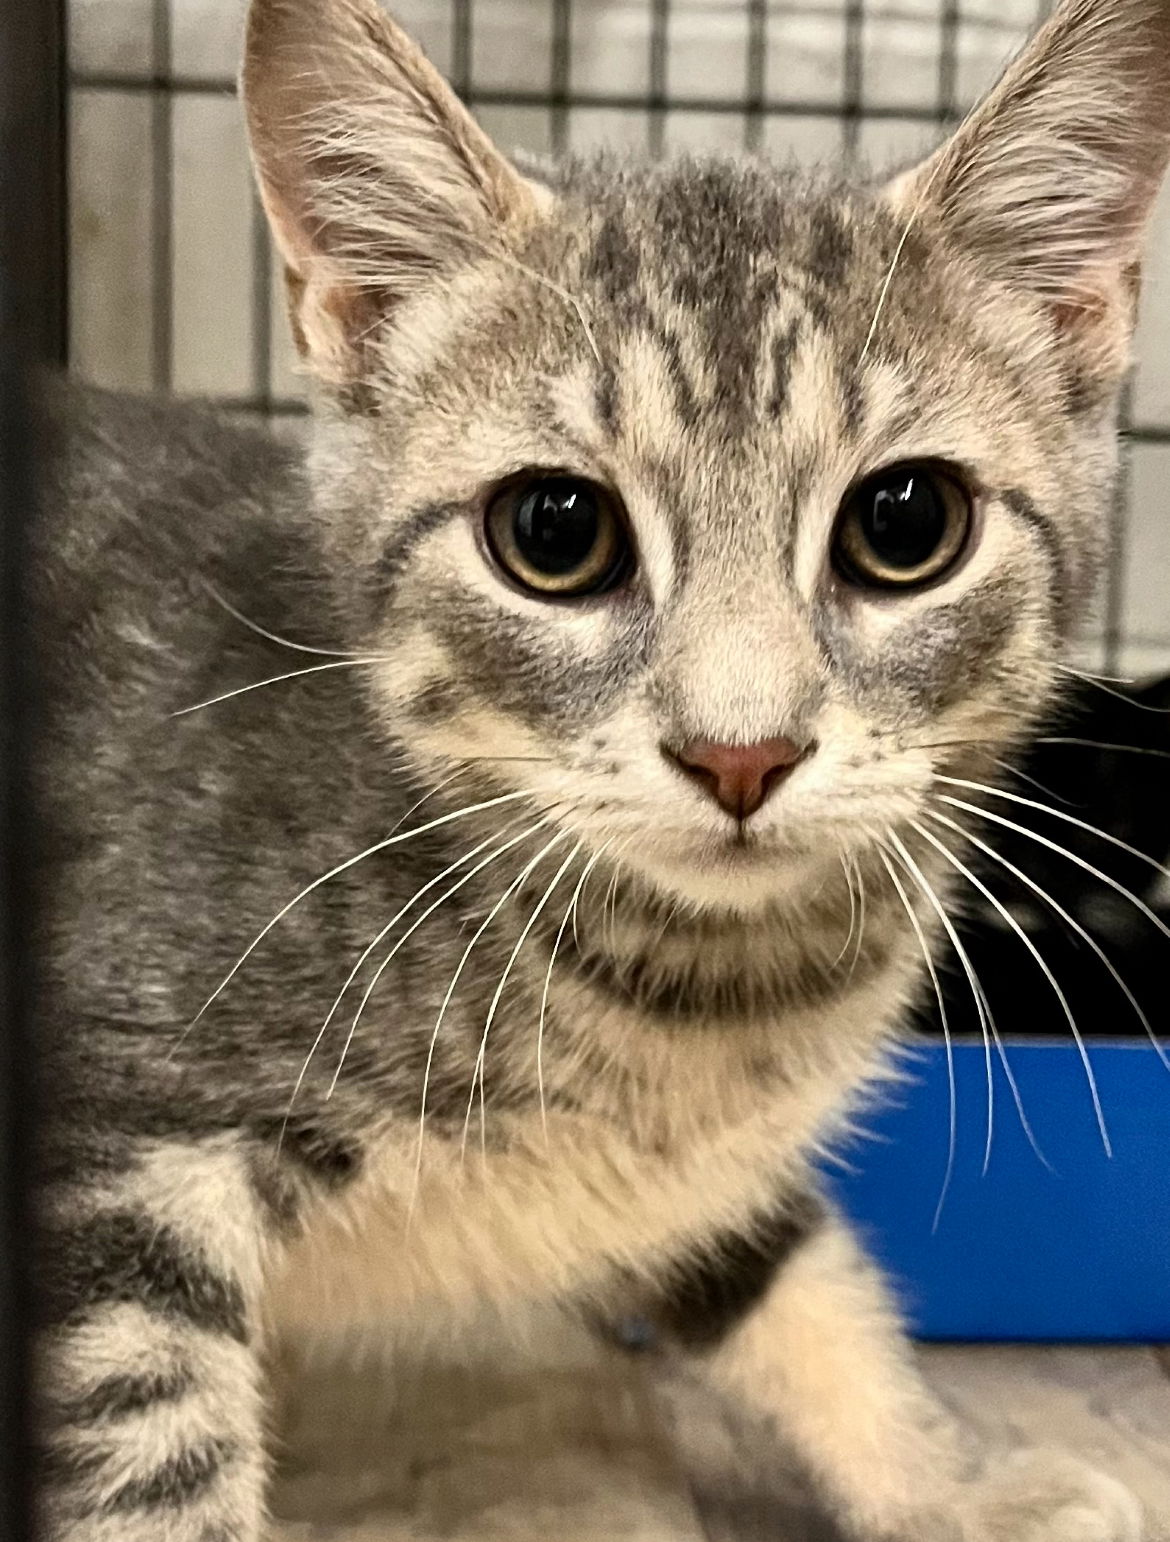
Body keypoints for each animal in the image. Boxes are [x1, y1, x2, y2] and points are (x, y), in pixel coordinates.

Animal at [31, 3, 1170, 1542]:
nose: (741, 750)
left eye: (904, 521)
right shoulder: (101, 1144)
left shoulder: (707, 1175)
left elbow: (787, 1274)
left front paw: (950, 1486)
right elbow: (148, 1454)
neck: (690, 1000)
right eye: (555, 530)